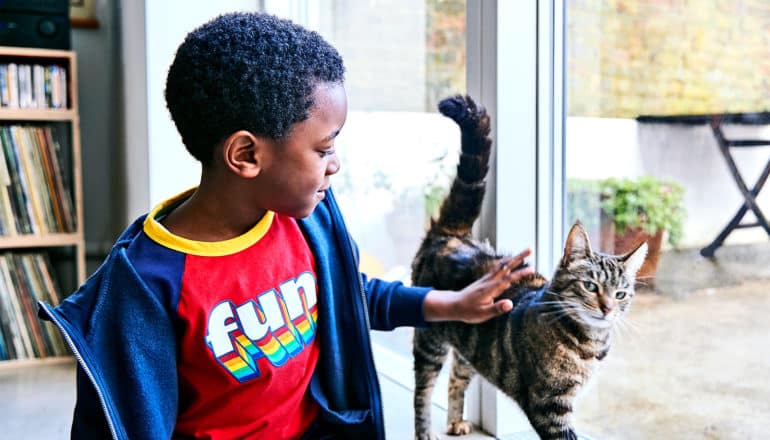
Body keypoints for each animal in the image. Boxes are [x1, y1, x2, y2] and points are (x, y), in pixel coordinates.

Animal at [412, 94, 644, 438]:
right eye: (590, 286)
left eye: (621, 294)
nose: (607, 309)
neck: (587, 345)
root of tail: (453, 235)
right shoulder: (548, 405)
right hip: (429, 341)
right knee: (422, 392)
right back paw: (425, 431)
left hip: (472, 344)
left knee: (457, 375)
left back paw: (455, 421)